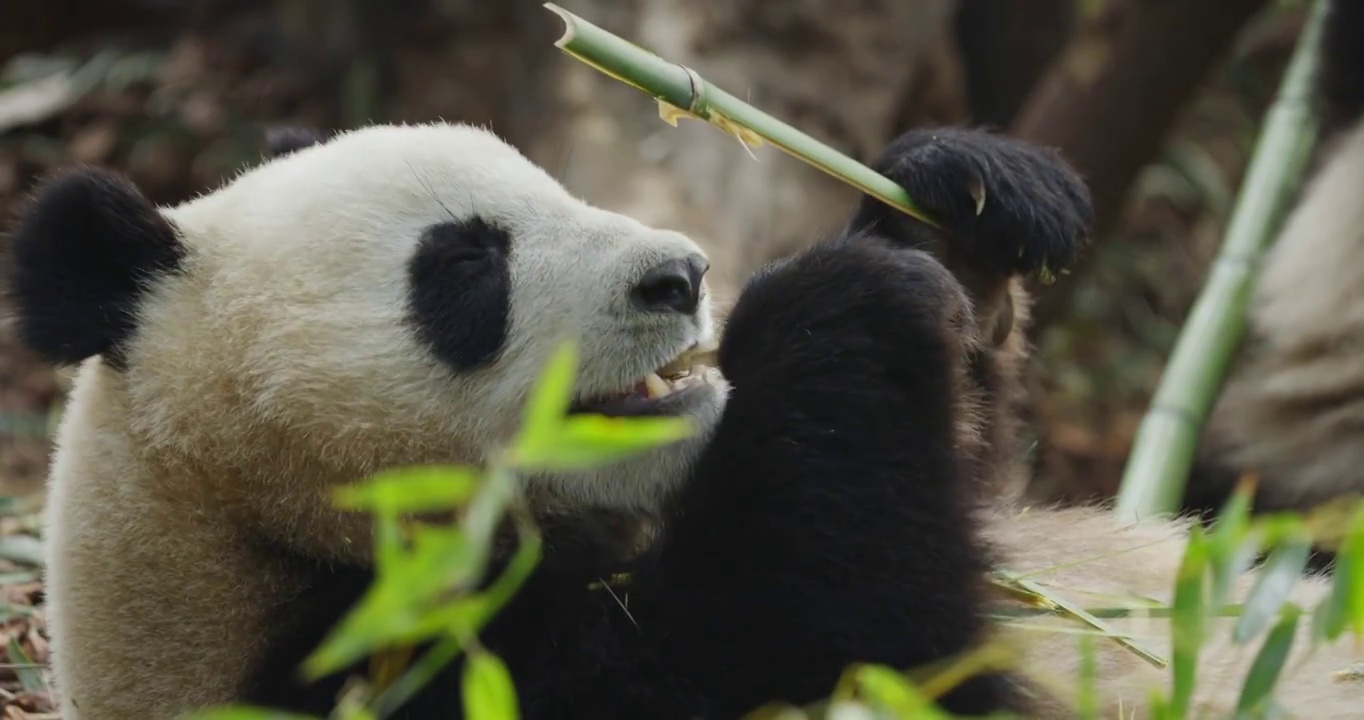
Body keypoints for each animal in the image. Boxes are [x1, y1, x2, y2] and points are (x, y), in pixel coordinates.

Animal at [10, 115, 1364, 714]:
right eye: (466, 266)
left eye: (554, 184)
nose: (681, 276)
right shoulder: (395, 673)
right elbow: (846, 626)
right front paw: (834, 309)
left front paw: (961, 205)